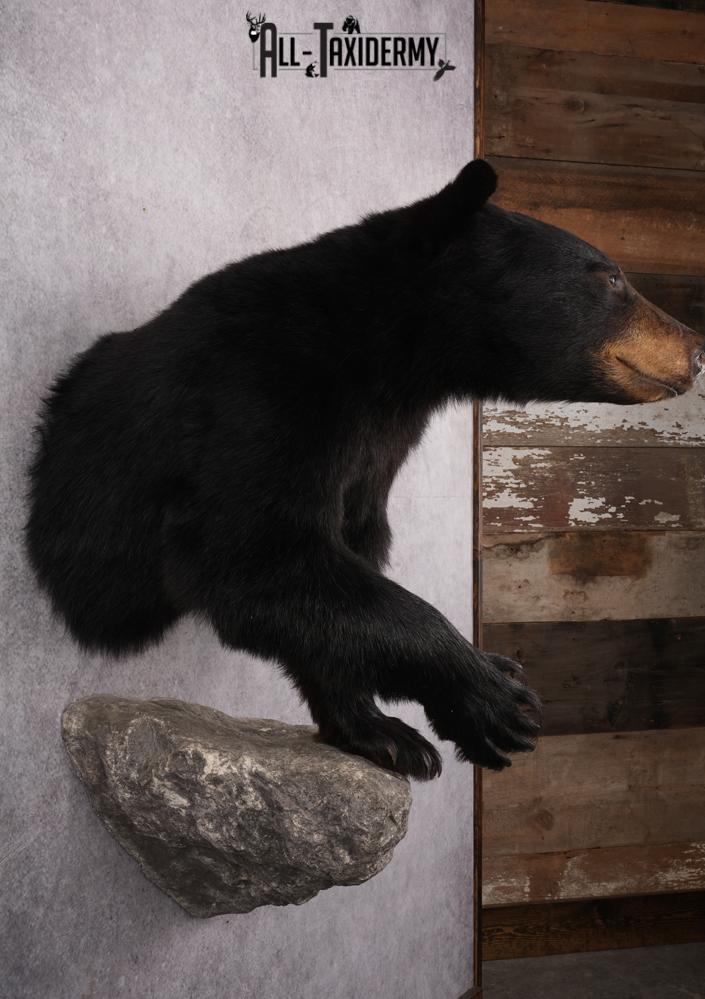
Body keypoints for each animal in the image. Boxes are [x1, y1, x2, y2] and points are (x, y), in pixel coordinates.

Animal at [26, 159, 704, 779]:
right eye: (612, 277)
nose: (696, 348)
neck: (388, 356)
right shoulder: (258, 393)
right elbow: (255, 556)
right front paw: (492, 694)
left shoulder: (375, 448)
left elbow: (341, 567)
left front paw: (380, 731)